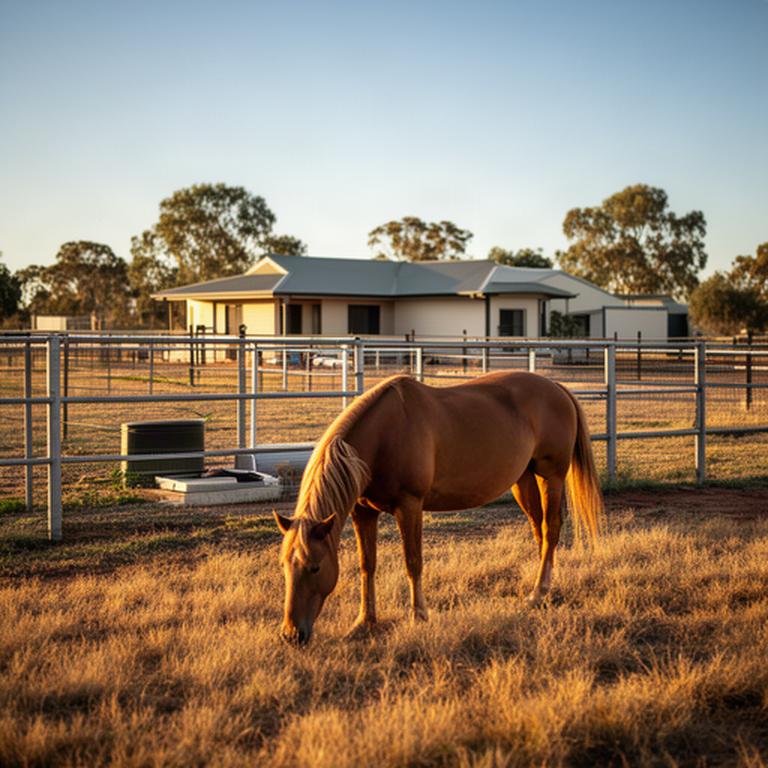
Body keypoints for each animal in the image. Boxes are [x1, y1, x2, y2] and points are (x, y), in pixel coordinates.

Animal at [274, 371, 603, 645]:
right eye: (285, 566)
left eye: (315, 567)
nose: (291, 635)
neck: (384, 435)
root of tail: (557, 387)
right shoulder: (363, 512)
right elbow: (368, 565)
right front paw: (364, 622)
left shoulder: (410, 505)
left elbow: (413, 561)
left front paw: (418, 615)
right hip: (523, 480)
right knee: (540, 530)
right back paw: (542, 588)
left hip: (551, 475)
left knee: (551, 528)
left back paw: (539, 593)